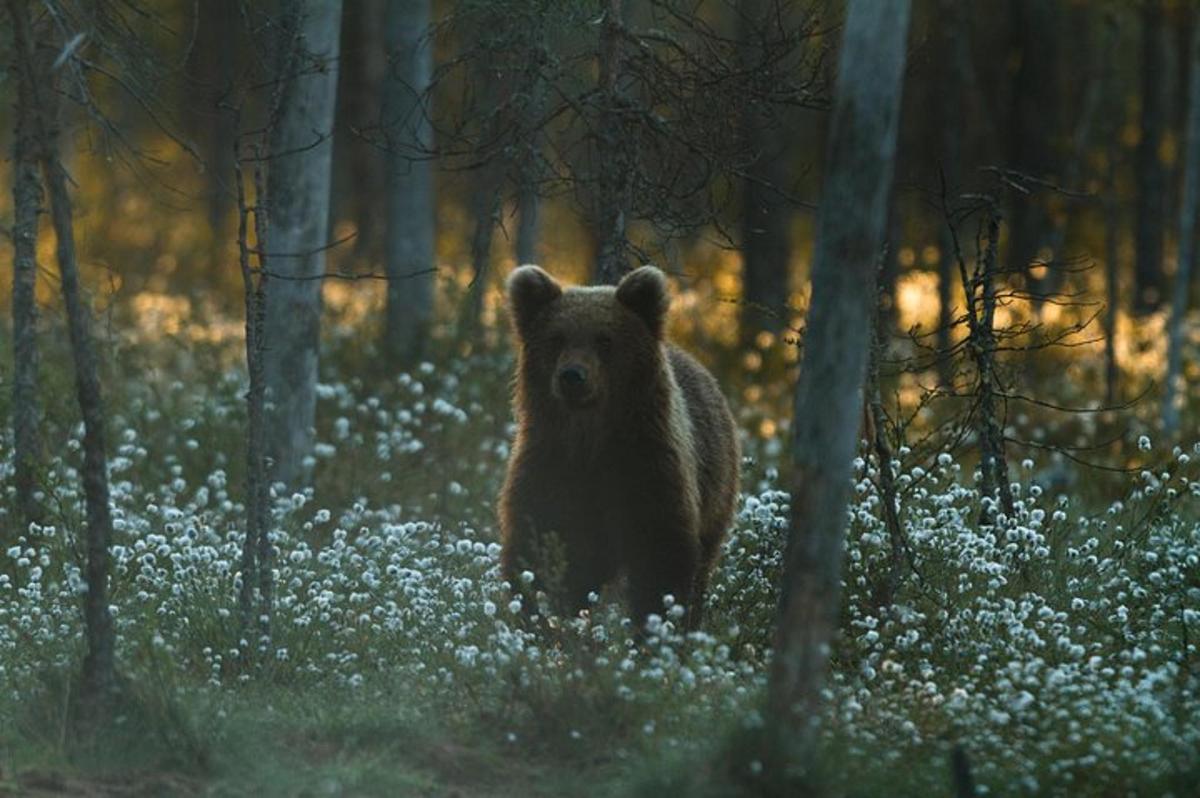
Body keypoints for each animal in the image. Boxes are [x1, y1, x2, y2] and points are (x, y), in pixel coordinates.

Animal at [496, 266, 739, 628]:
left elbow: (663, 556)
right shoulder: (550, 464)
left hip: (716, 491)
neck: (590, 438)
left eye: (604, 339)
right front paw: (536, 618)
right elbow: (535, 544)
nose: (572, 376)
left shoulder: (648, 466)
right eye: (557, 338)